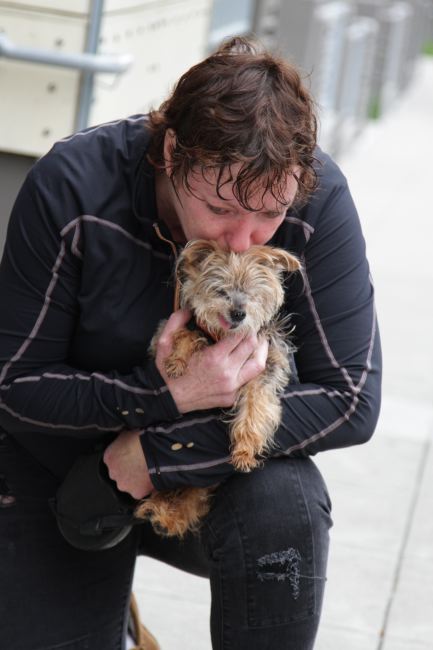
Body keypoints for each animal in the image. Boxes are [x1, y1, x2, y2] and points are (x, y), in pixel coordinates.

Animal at [135, 240, 301, 537]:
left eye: (251, 294)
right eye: (221, 290)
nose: (238, 313)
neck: (223, 337)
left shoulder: (266, 372)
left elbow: (254, 408)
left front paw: (245, 451)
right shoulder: (179, 326)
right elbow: (186, 334)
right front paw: (177, 360)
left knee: (194, 497)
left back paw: (167, 519)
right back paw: (158, 512)